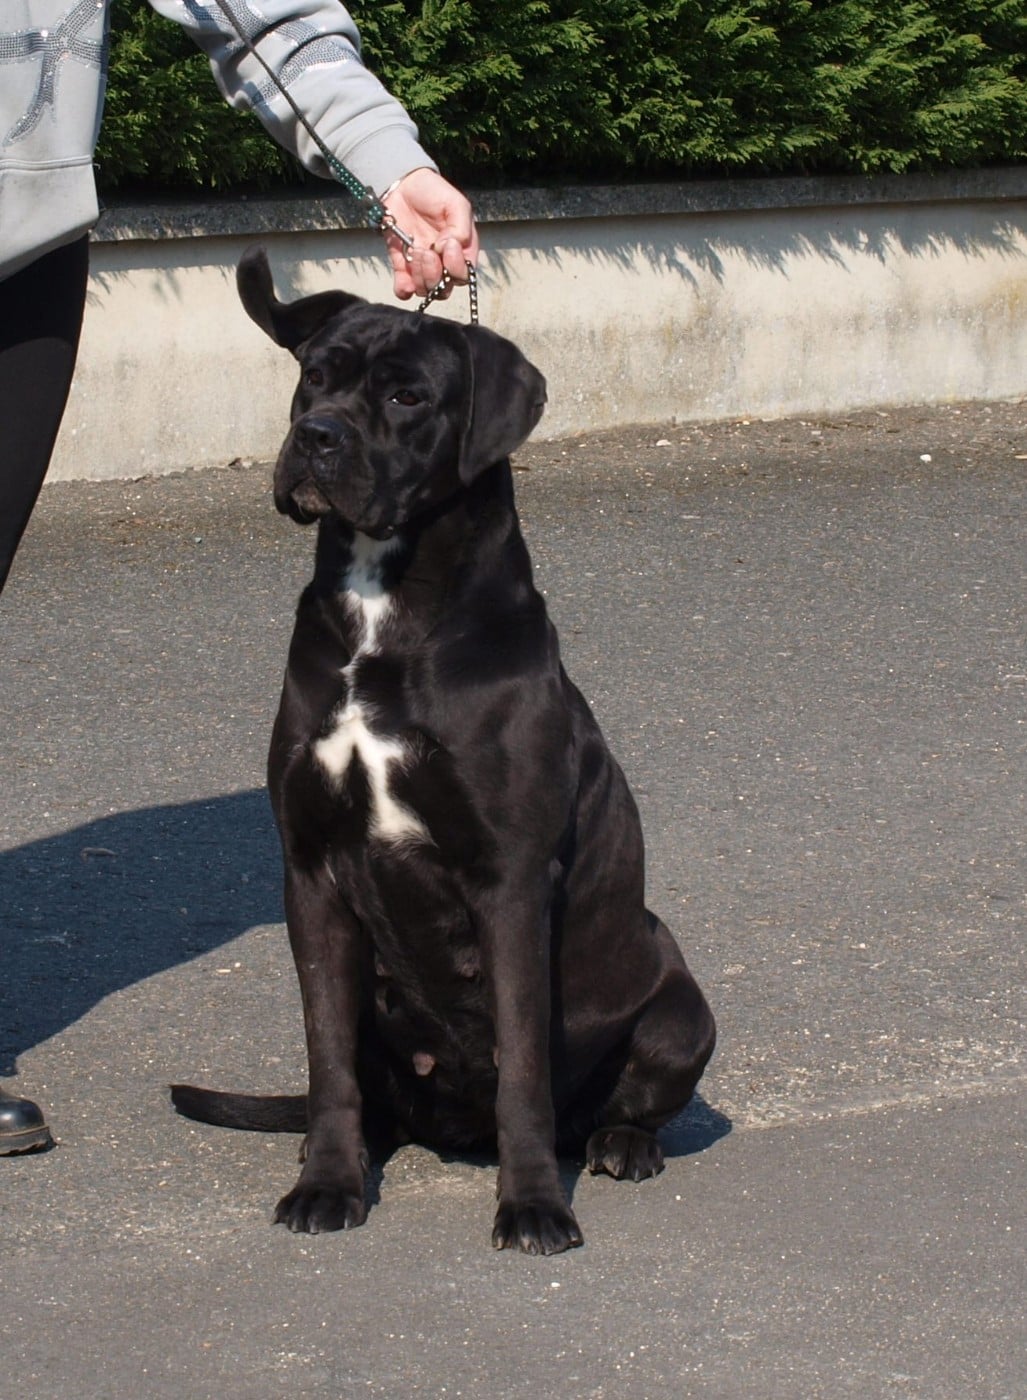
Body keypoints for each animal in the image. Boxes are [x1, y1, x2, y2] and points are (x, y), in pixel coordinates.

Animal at [172, 246, 715, 1254]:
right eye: (315, 375)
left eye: (407, 397)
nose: (314, 436)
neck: (382, 607)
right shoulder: (310, 873)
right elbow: (328, 1059)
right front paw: (327, 1183)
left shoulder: (508, 879)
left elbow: (525, 1070)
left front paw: (534, 1205)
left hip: (681, 1001)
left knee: (619, 1100)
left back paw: (621, 1143)